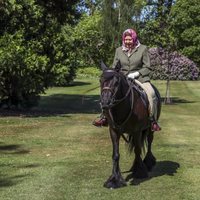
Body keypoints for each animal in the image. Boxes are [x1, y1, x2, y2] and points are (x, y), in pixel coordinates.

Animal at [99, 61, 161, 189]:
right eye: (100, 80)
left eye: (116, 82)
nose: (105, 103)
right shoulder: (113, 131)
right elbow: (116, 154)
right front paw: (114, 179)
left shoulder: (136, 131)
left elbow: (138, 150)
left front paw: (140, 172)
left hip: (150, 128)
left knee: (149, 142)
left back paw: (148, 163)